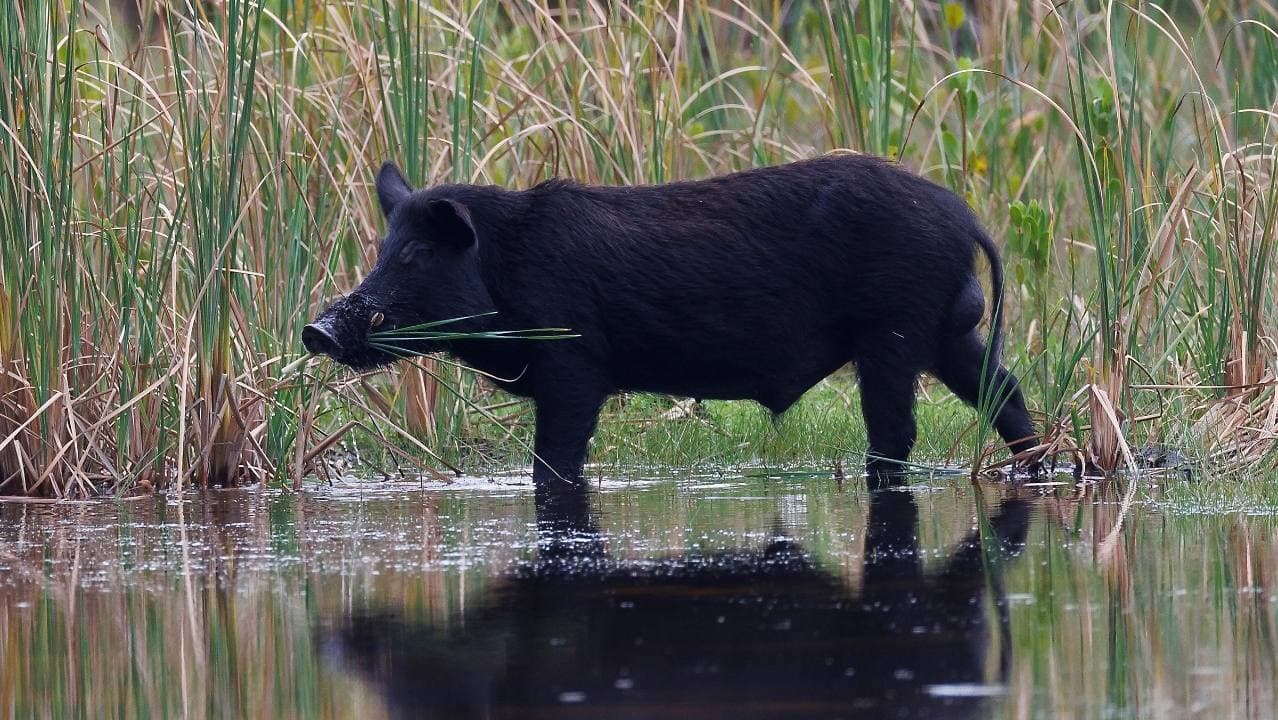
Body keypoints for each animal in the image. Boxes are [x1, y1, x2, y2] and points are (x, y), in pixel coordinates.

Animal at [303, 155, 1039, 489]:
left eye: (419, 254)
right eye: (382, 250)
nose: (318, 330)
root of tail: (963, 218)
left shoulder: (575, 362)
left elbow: (556, 460)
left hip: (895, 330)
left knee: (896, 430)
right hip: (946, 332)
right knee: (1004, 390)